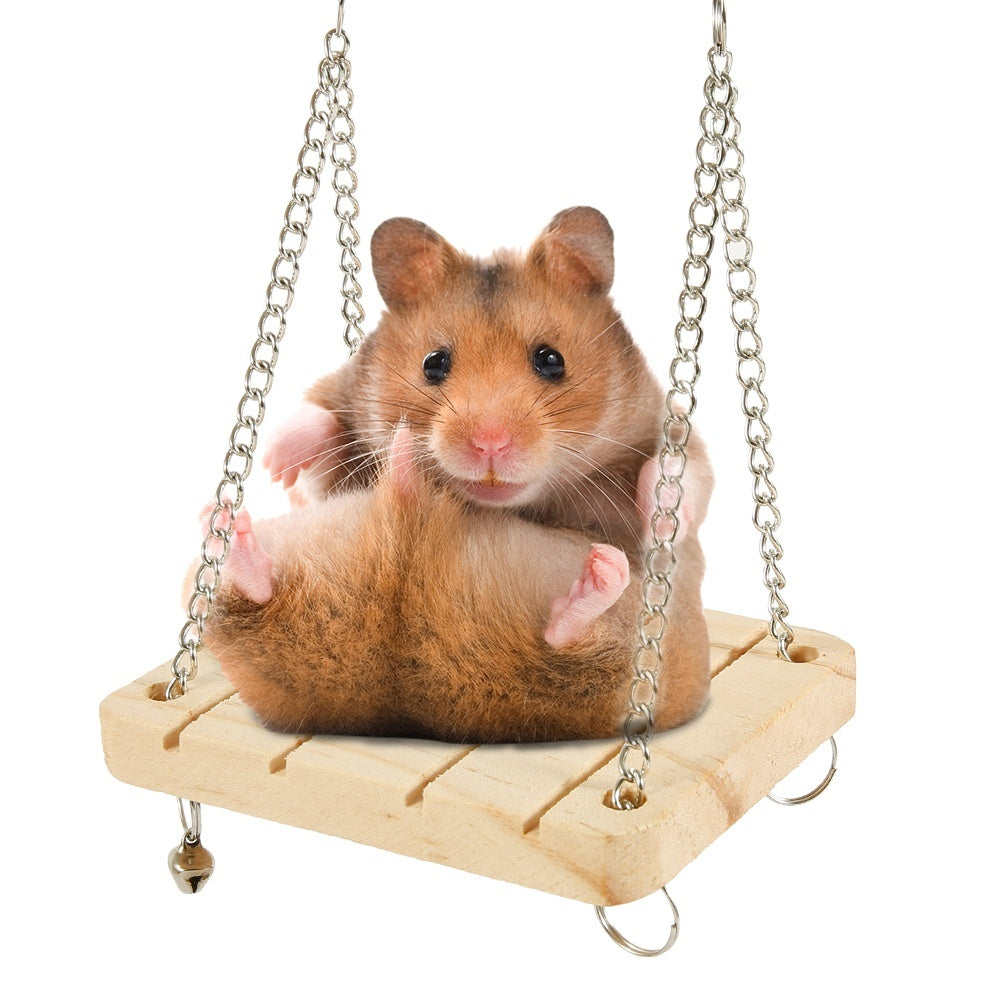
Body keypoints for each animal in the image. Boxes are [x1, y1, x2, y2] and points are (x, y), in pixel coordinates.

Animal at [262, 206, 712, 557]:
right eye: (433, 364)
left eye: (552, 360)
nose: (489, 444)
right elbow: (319, 432)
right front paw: (274, 465)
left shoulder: (661, 417)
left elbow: (683, 470)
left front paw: (665, 519)